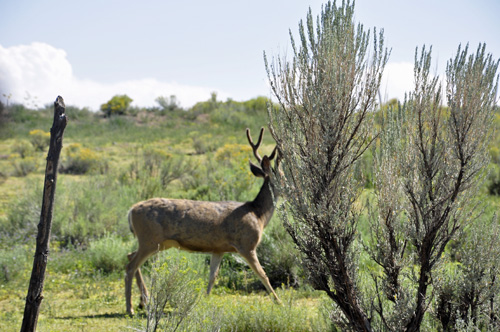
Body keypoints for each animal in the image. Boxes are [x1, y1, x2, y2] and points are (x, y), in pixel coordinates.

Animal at [124, 126, 282, 314]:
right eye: (283, 176)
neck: (258, 214)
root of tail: (131, 211)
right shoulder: (247, 245)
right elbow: (263, 274)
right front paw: (279, 302)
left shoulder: (219, 249)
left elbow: (212, 277)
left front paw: (204, 302)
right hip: (149, 239)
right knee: (131, 266)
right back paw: (130, 308)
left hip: (156, 242)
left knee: (130, 256)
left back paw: (144, 301)